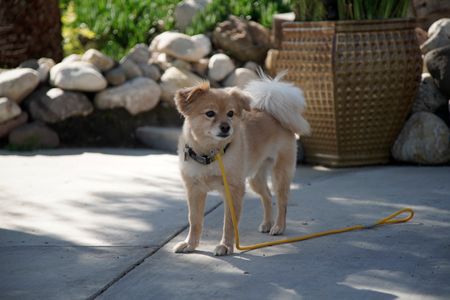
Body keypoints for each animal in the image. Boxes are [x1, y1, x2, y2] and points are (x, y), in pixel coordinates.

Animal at [172, 72, 310, 255]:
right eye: (210, 113)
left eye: (231, 113)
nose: (226, 127)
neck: (211, 153)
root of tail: (272, 113)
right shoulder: (194, 189)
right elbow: (194, 220)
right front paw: (190, 244)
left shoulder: (233, 190)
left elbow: (229, 223)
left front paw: (225, 246)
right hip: (255, 178)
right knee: (267, 196)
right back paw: (267, 223)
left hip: (280, 173)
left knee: (282, 201)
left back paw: (278, 226)